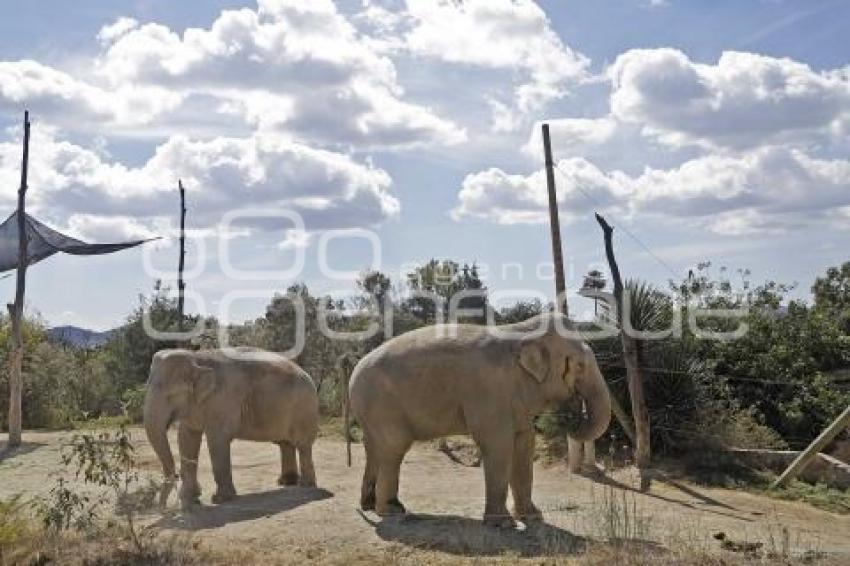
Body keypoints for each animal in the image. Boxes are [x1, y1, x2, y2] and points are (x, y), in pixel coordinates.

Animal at [144, 348, 320, 508]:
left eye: (172, 395)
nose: (164, 508)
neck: (197, 357)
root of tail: (308, 375)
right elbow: (186, 439)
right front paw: (192, 501)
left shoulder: (223, 400)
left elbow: (217, 441)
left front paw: (220, 499)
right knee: (285, 444)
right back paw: (286, 482)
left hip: (304, 409)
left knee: (303, 445)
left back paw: (305, 485)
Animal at [346, 312, 608, 532]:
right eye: (579, 366)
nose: (573, 414)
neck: (520, 331)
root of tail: (354, 372)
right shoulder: (489, 391)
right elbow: (498, 444)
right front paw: (504, 525)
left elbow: (525, 444)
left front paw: (533, 517)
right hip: (383, 405)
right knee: (394, 447)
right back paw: (393, 511)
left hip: (371, 412)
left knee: (374, 448)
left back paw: (370, 505)